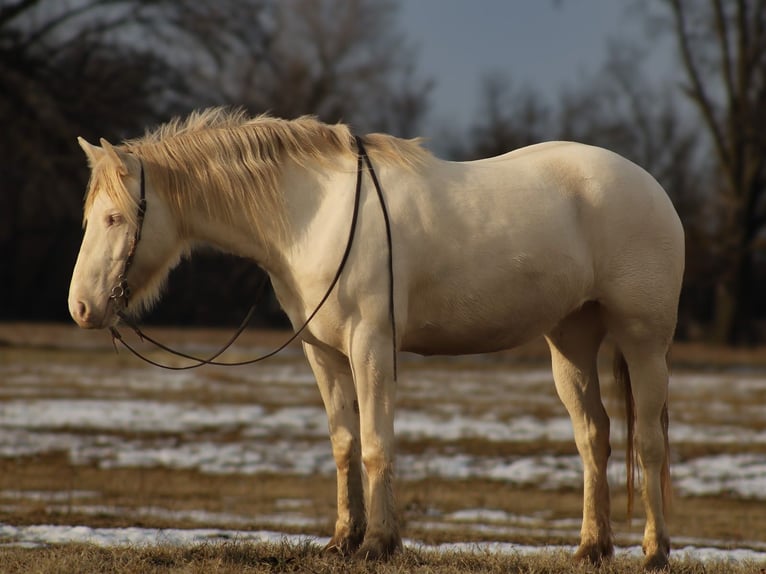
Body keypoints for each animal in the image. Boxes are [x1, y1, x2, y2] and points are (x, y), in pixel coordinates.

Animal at [68, 107, 684, 571]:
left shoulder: (371, 344)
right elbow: (344, 444)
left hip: (644, 341)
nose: (81, 307)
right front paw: (344, 539)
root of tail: (652, 187)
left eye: (115, 218)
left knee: (650, 442)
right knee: (594, 437)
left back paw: (655, 551)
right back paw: (591, 548)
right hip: (571, 341)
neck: (314, 214)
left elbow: (375, 443)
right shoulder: (324, 353)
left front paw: (380, 543)